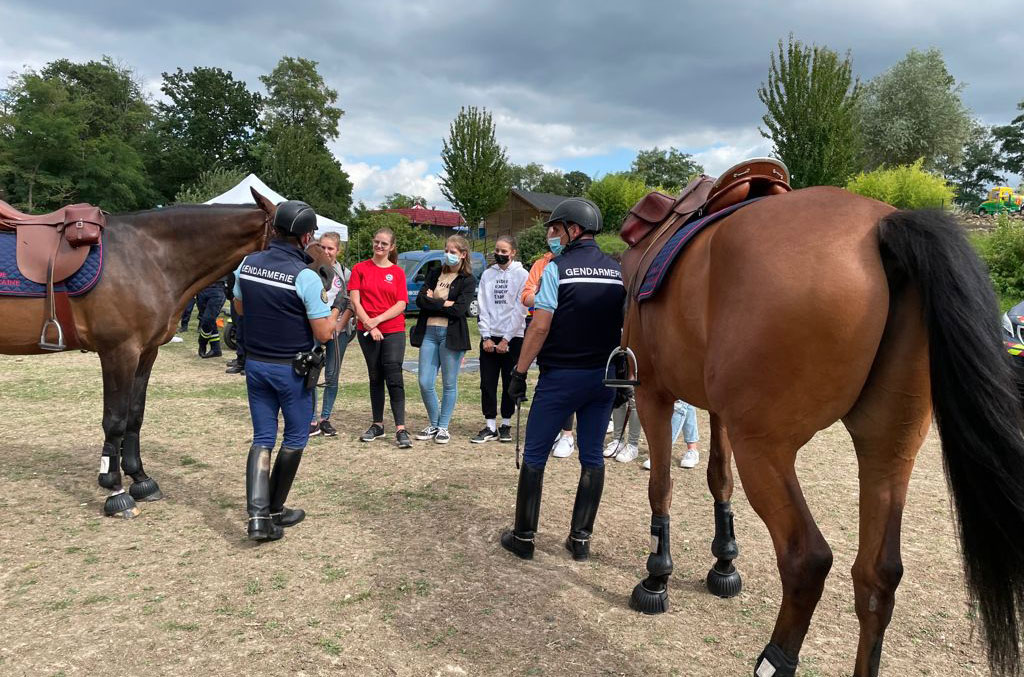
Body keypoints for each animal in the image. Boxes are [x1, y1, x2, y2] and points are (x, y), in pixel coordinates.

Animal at [0, 189, 277, 519]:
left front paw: (140, 479)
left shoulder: (146, 353)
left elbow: (135, 415)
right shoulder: (119, 353)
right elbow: (115, 420)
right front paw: (115, 490)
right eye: (305, 234)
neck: (149, 257)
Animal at [620, 186, 1024, 676]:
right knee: (877, 576)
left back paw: (774, 659)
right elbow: (719, 478)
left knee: (807, 560)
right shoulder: (718, 410)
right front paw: (724, 563)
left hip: (765, 450)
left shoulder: (653, 395)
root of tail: (881, 225)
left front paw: (657, 574)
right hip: (888, 452)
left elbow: (661, 486)